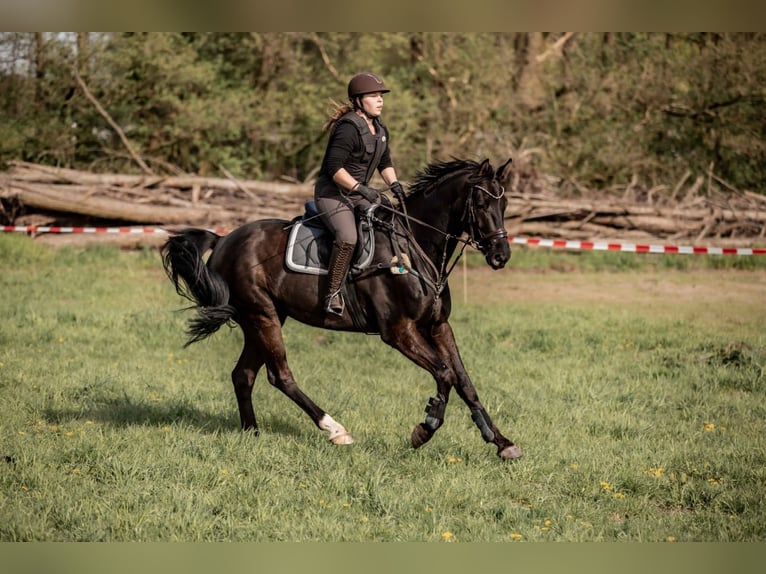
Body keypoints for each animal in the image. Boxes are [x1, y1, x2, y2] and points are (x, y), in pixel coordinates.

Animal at [160, 159, 524, 464]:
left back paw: (252, 432)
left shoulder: (438, 326)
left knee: (244, 374)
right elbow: (445, 373)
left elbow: (464, 381)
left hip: (265, 318)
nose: (501, 256)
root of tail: (223, 239)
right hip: (261, 315)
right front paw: (425, 427)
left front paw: (501, 441)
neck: (414, 247)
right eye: (482, 204)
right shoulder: (399, 332)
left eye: (504, 204)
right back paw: (335, 429)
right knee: (280, 375)